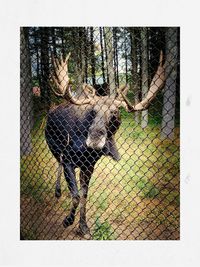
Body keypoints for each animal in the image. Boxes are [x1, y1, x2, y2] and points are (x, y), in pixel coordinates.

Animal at [45, 51, 166, 238]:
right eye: (93, 111)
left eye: (114, 113)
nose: (94, 139)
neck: (86, 151)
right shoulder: (69, 161)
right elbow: (76, 196)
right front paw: (68, 221)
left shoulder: (89, 166)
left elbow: (84, 195)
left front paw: (83, 227)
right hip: (54, 147)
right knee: (58, 161)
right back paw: (57, 190)